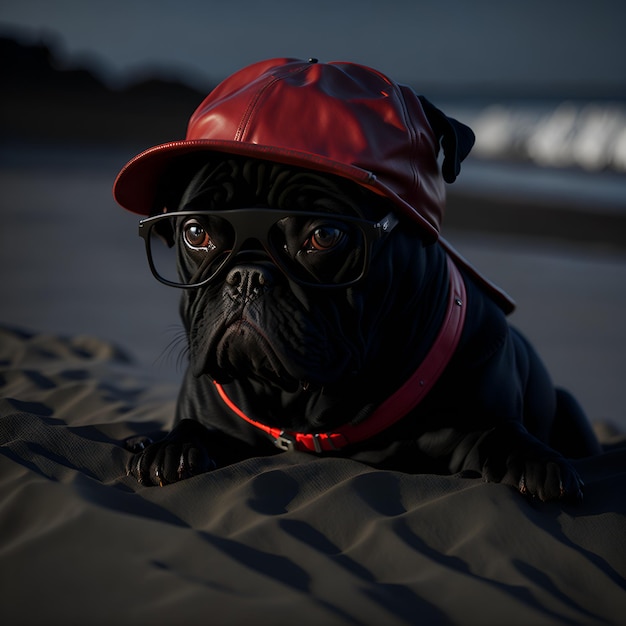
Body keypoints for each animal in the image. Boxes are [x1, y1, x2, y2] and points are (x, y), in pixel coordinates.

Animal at [114, 58, 596, 500]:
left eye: (325, 236)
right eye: (197, 232)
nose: (246, 276)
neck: (306, 408)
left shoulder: (480, 415)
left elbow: (499, 430)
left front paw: (534, 460)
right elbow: (193, 427)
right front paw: (171, 446)